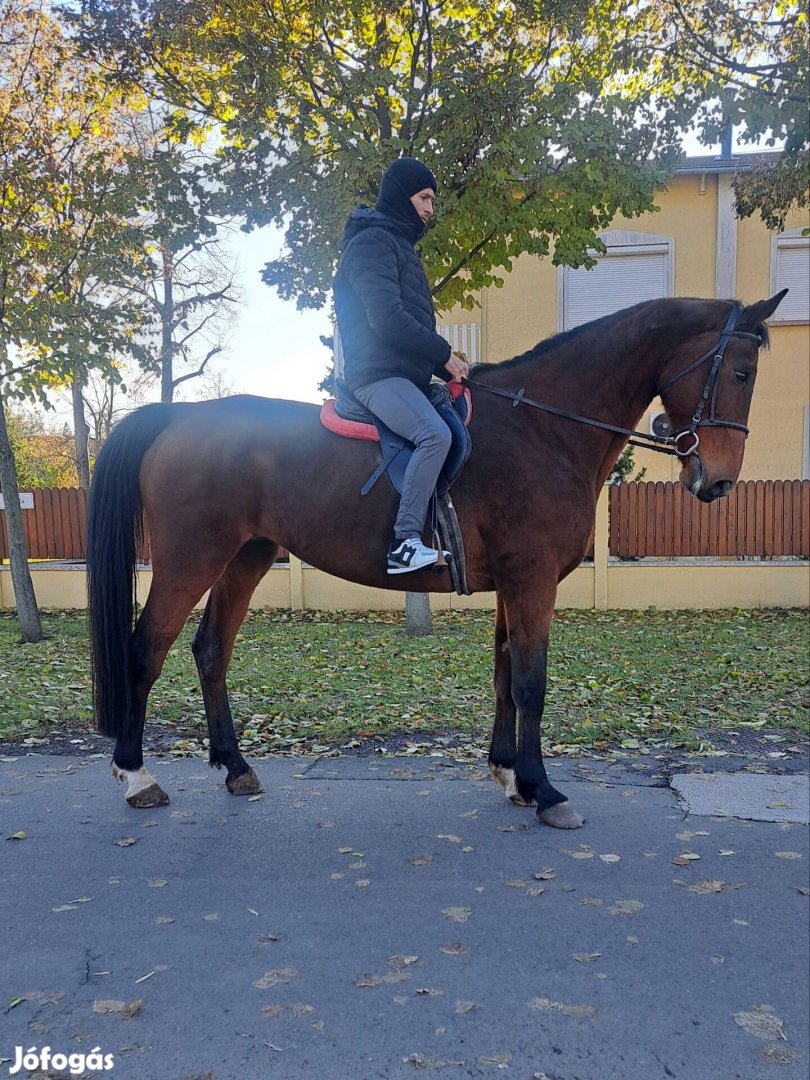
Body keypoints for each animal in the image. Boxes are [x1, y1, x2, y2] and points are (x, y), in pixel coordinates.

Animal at [87, 291, 786, 820]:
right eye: (740, 371)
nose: (719, 481)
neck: (543, 429)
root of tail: (178, 416)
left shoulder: (514, 583)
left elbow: (505, 675)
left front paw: (510, 774)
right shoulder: (532, 580)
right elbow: (530, 682)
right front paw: (544, 789)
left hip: (246, 557)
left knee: (211, 651)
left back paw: (235, 766)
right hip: (190, 560)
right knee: (145, 650)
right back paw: (136, 774)